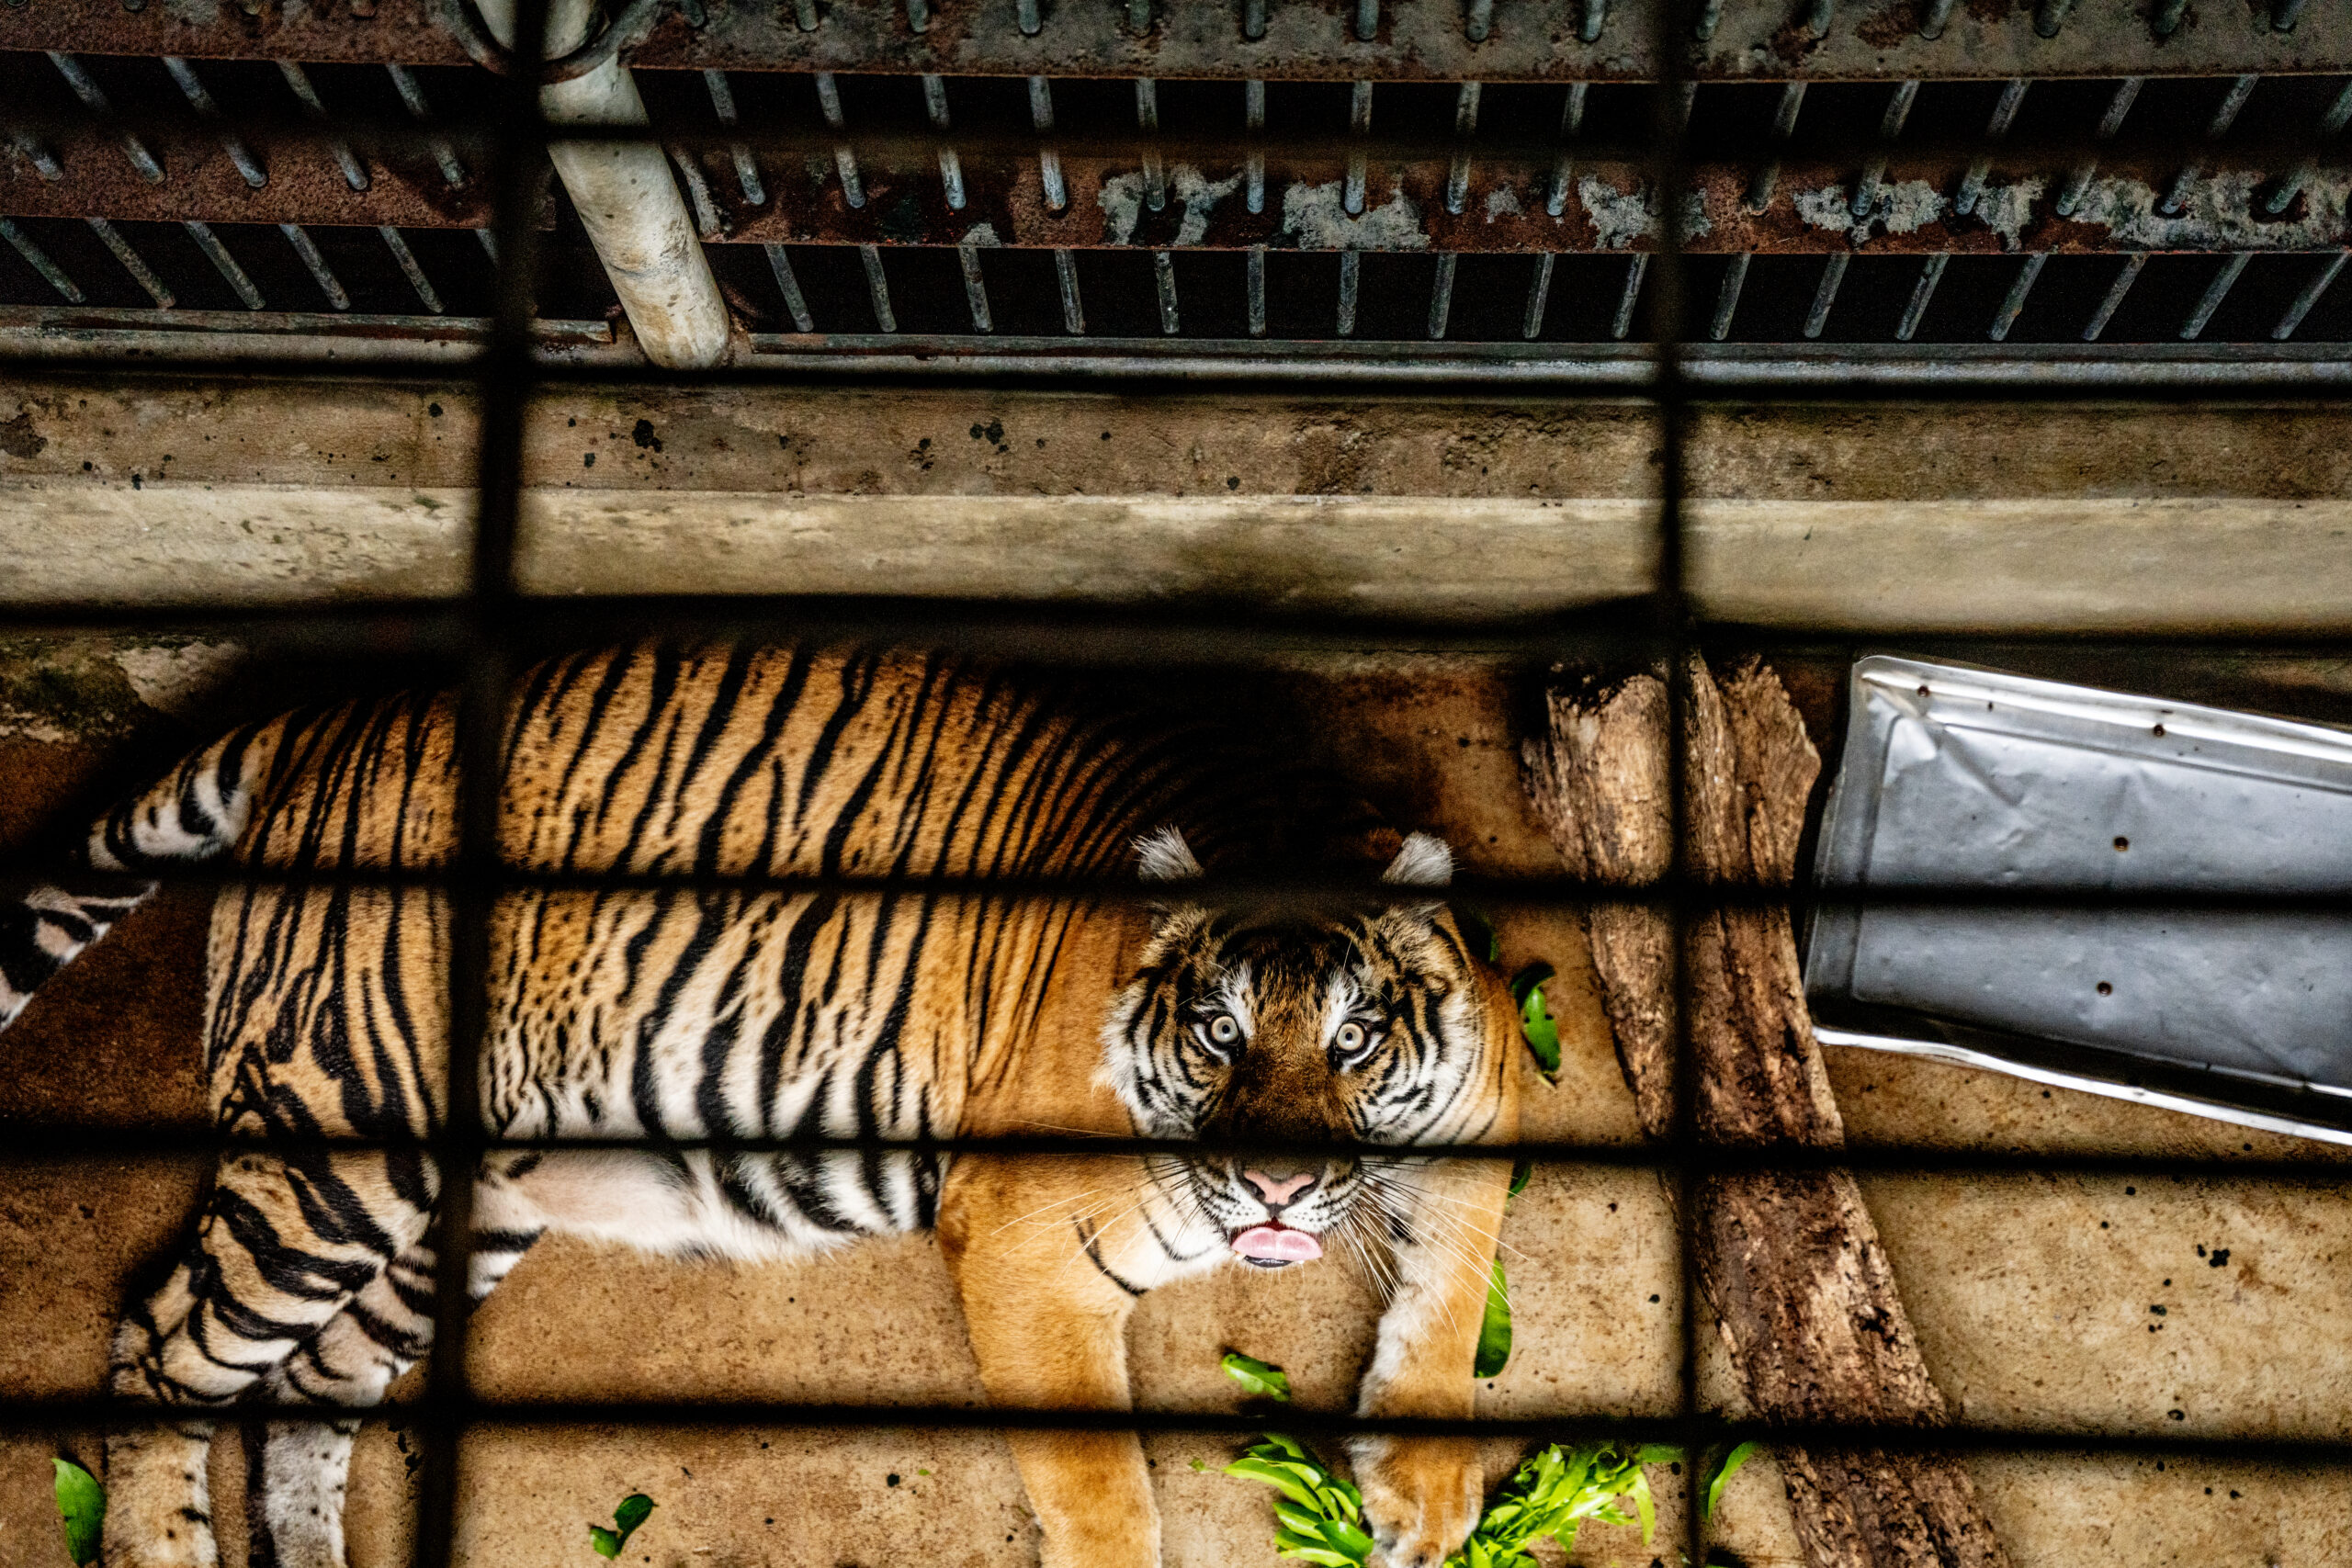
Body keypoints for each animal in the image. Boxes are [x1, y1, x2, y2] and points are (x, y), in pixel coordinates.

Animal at [0, 642, 1521, 1568]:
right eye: (1216, 1033)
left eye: (1356, 1037)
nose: (1275, 1186)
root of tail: (337, 717)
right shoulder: (1029, 1253)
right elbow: (1103, 1497)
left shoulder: (1485, 1084)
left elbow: (1455, 1265)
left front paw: (1424, 1488)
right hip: (343, 1140)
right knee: (158, 1348)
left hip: (460, 1206)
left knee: (311, 1387)